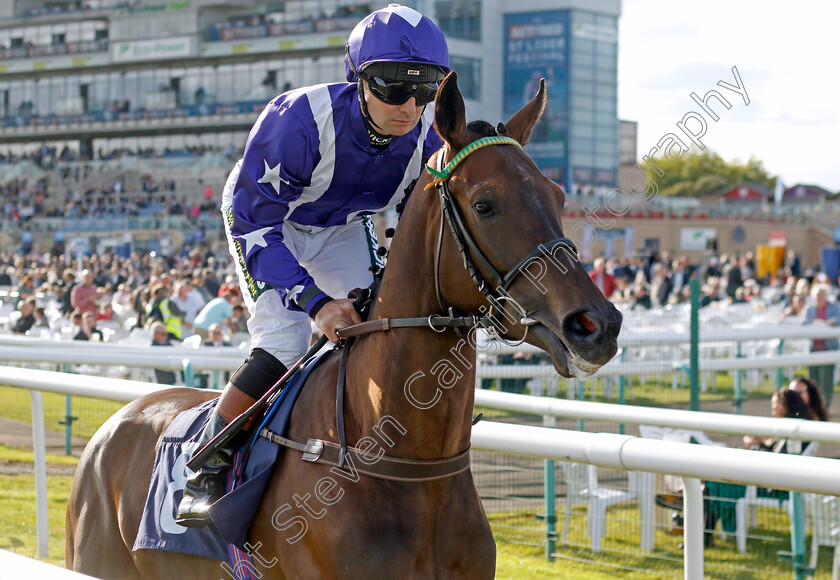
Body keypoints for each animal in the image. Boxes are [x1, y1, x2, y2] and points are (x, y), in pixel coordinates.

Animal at [67, 73, 624, 580]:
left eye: (558, 195)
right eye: (485, 204)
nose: (597, 325)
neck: (404, 463)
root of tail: (119, 420)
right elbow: (258, 219)